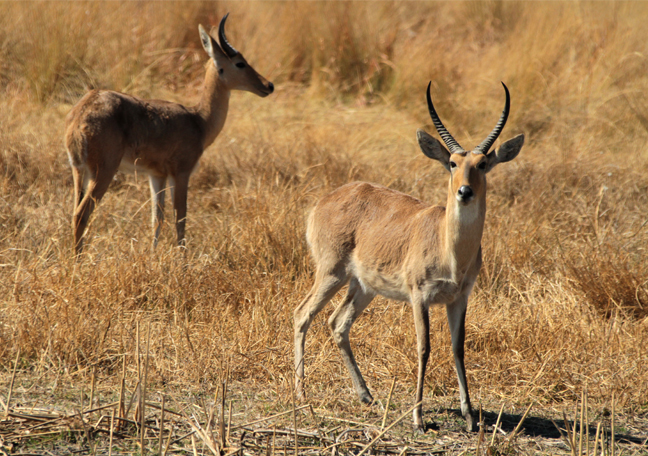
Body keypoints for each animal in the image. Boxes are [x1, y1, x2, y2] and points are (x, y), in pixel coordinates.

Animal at [67, 14, 274, 255]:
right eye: (240, 62)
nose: (268, 85)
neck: (199, 120)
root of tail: (80, 114)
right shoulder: (182, 173)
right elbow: (180, 217)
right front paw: (183, 258)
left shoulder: (156, 175)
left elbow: (157, 218)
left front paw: (153, 254)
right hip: (103, 173)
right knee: (81, 214)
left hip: (80, 172)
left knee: (74, 212)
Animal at [296, 81, 524, 432]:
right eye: (452, 163)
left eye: (482, 164)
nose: (465, 192)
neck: (450, 250)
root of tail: (324, 200)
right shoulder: (420, 296)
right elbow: (424, 347)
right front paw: (418, 417)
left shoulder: (460, 297)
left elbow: (458, 348)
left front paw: (470, 416)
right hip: (331, 273)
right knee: (302, 315)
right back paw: (302, 396)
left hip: (363, 286)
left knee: (337, 323)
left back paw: (367, 396)